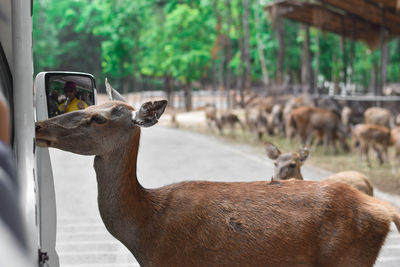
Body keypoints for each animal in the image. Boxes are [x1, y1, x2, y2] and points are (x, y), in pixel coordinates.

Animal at [35, 81, 400, 266]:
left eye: (98, 118)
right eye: (89, 105)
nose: (39, 126)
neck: (145, 231)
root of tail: (383, 210)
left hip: (347, 259)